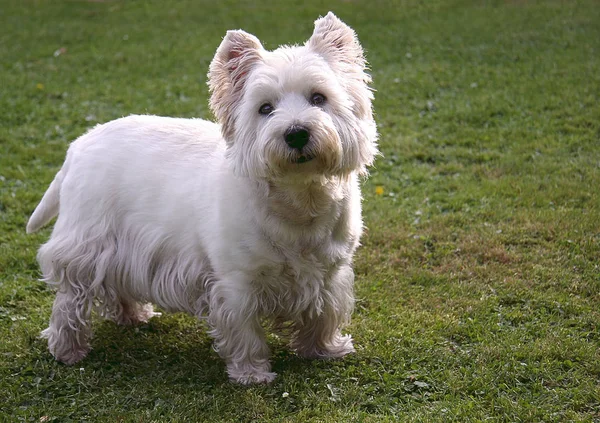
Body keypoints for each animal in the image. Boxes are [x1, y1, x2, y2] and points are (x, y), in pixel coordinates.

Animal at [28, 12, 378, 384]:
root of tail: (78, 145)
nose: (296, 133)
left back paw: (133, 315)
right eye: (265, 108)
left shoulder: (329, 272)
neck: (300, 200)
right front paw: (252, 373)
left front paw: (324, 349)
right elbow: (245, 331)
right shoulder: (236, 282)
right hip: (87, 242)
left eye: (318, 98)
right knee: (69, 298)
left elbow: (324, 312)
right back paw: (67, 349)